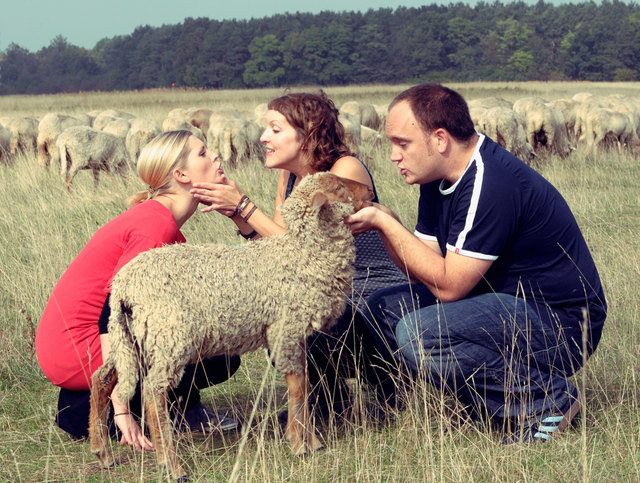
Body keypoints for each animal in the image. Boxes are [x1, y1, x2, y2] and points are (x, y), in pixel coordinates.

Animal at [87, 173, 372, 480]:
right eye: (339, 188)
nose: (369, 191)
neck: (302, 254)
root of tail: (123, 286)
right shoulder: (285, 330)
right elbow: (298, 388)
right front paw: (300, 445)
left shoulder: (295, 335)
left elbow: (304, 384)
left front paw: (312, 441)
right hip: (169, 336)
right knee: (153, 391)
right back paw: (172, 466)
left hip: (134, 338)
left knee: (101, 379)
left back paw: (102, 453)